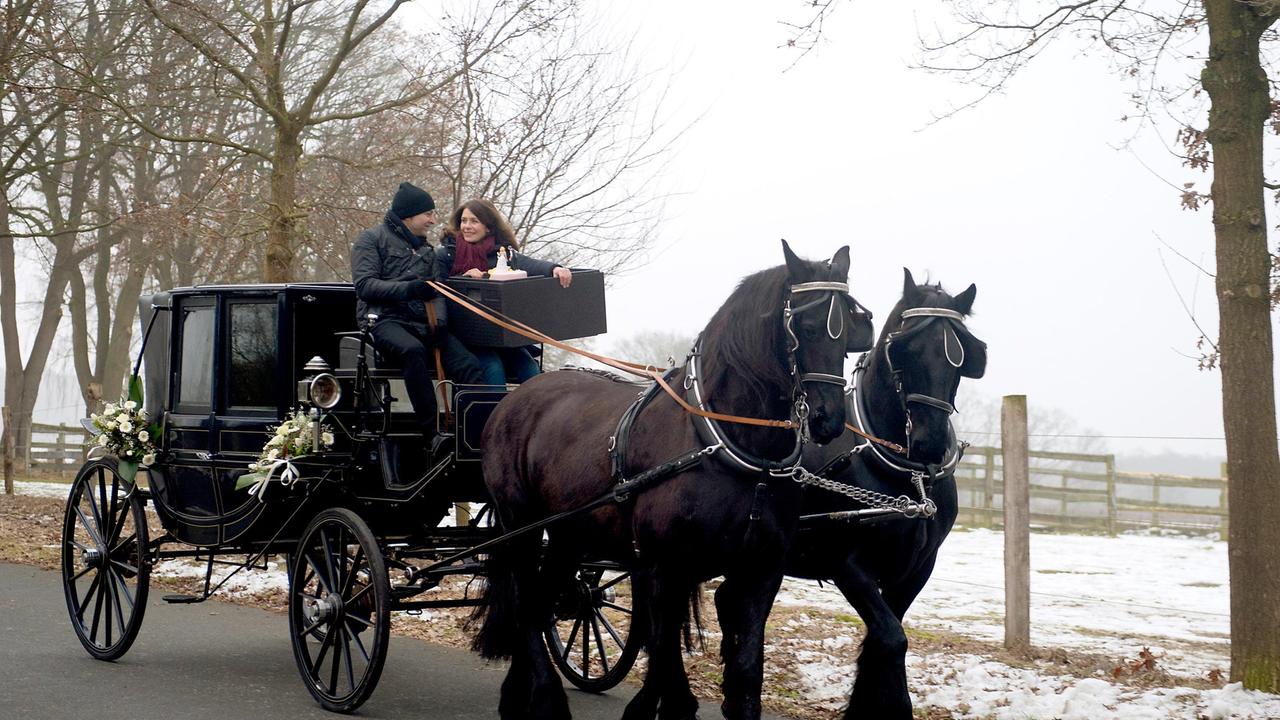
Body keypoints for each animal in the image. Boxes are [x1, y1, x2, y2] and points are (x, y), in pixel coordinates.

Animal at [478, 242, 870, 717]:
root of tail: (514, 397)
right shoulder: (665, 568)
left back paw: (518, 694)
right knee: (524, 604)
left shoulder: (759, 573)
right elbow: (666, 659)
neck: (730, 447)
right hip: (520, 525)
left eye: (848, 333)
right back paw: (546, 696)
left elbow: (744, 672)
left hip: (569, 535)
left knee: (539, 602)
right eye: (807, 327)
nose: (828, 419)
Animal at [788, 270, 988, 717]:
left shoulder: (917, 568)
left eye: (962, 356)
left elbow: (884, 637)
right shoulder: (846, 563)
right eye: (904, 347)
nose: (931, 442)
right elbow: (892, 639)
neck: (906, 476)